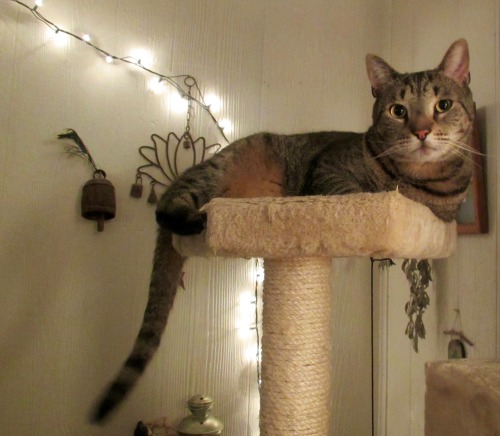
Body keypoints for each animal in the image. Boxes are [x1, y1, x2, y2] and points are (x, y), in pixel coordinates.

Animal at [93, 38, 472, 422]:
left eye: (443, 105)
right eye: (398, 110)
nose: (421, 131)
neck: (414, 178)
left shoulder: (439, 210)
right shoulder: (330, 172)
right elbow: (357, 195)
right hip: (215, 172)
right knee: (167, 204)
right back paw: (195, 219)